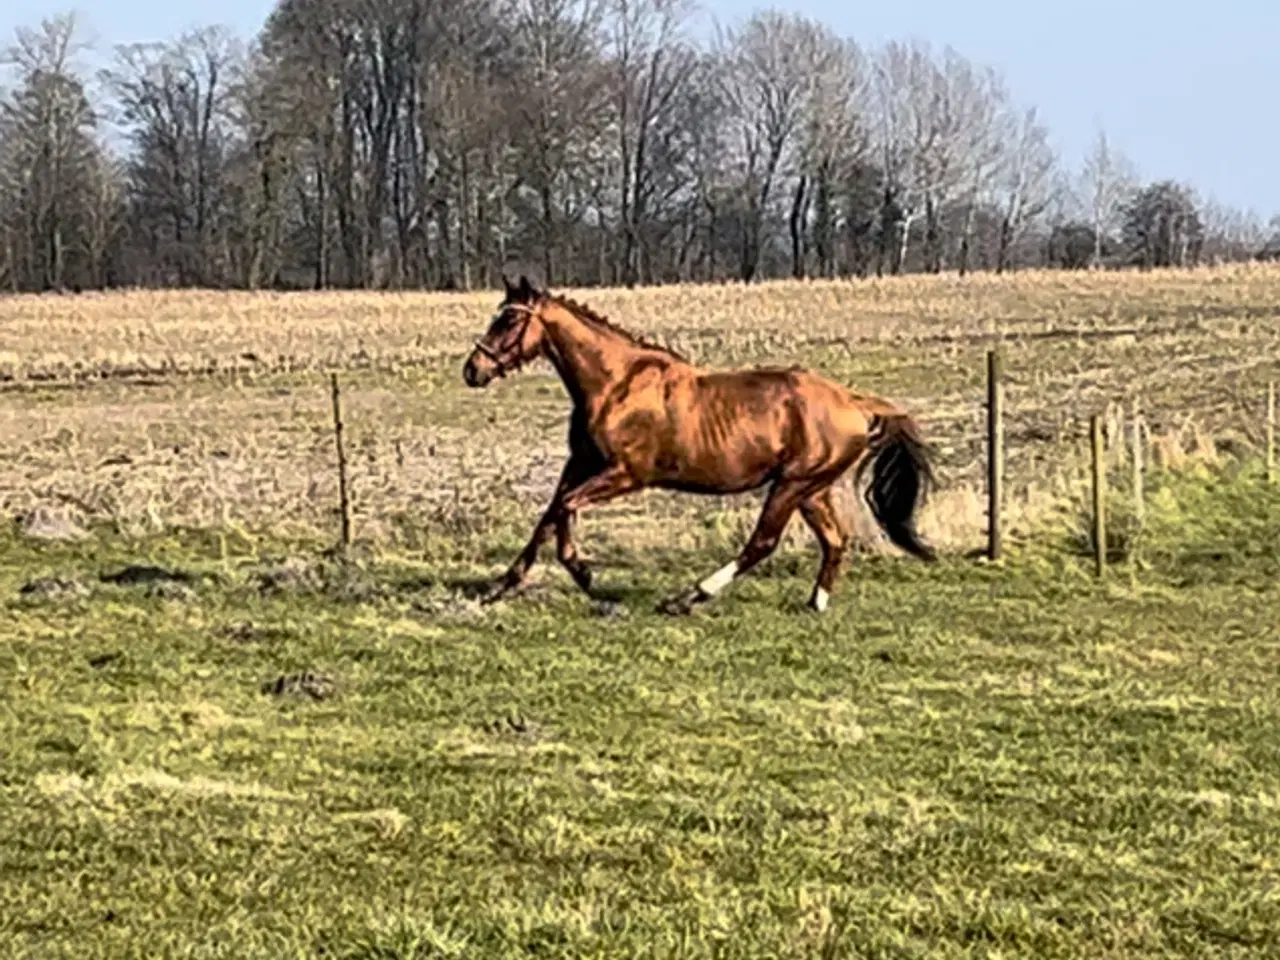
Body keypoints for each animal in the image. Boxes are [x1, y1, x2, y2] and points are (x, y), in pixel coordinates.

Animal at [463, 272, 942, 616]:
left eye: (509, 319)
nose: (473, 369)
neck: (614, 384)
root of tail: (854, 402)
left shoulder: (625, 474)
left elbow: (565, 509)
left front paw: (584, 574)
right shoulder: (580, 464)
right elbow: (548, 515)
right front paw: (499, 586)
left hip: (791, 485)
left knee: (762, 543)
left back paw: (686, 598)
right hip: (812, 489)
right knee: (834, 541)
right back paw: (815, 603)